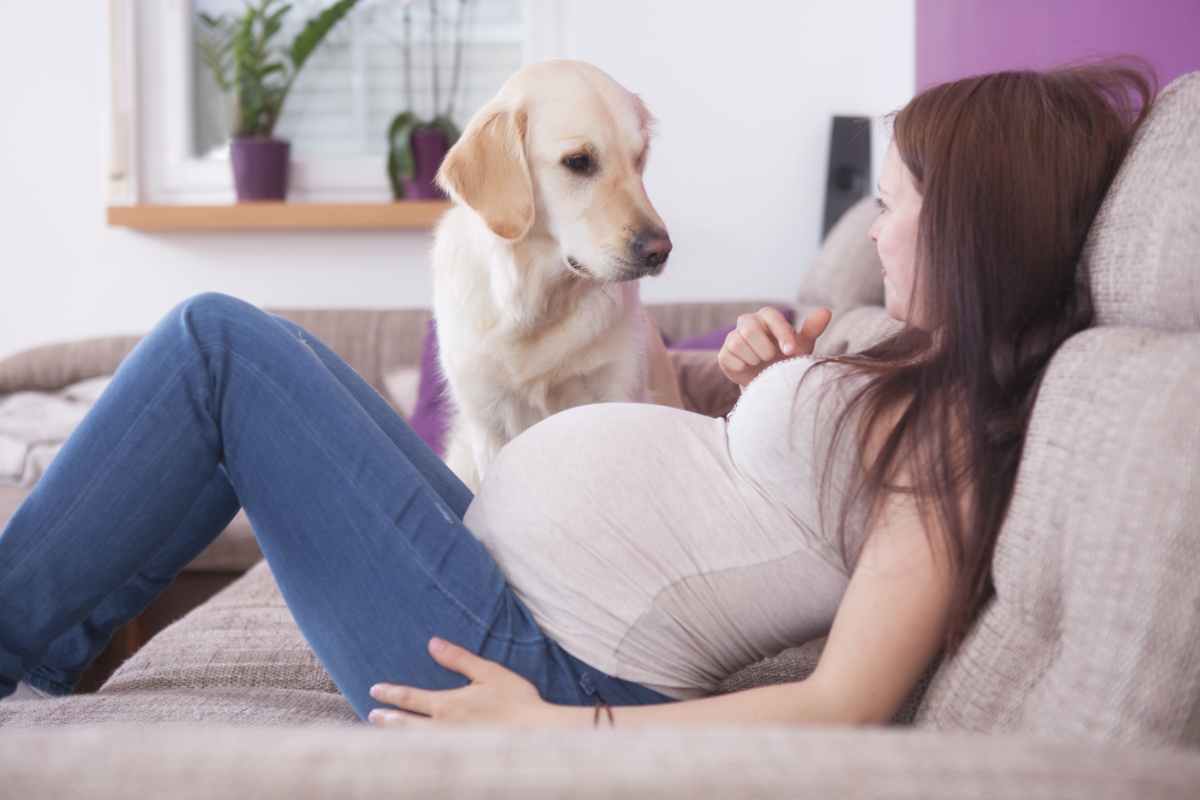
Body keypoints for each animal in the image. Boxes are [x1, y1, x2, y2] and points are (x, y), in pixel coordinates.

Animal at [434, 59, 676, 491]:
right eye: (578, 161)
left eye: (639, 158)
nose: (659, 250)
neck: (535, 304)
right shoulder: (488, 422)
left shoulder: (616, 394)